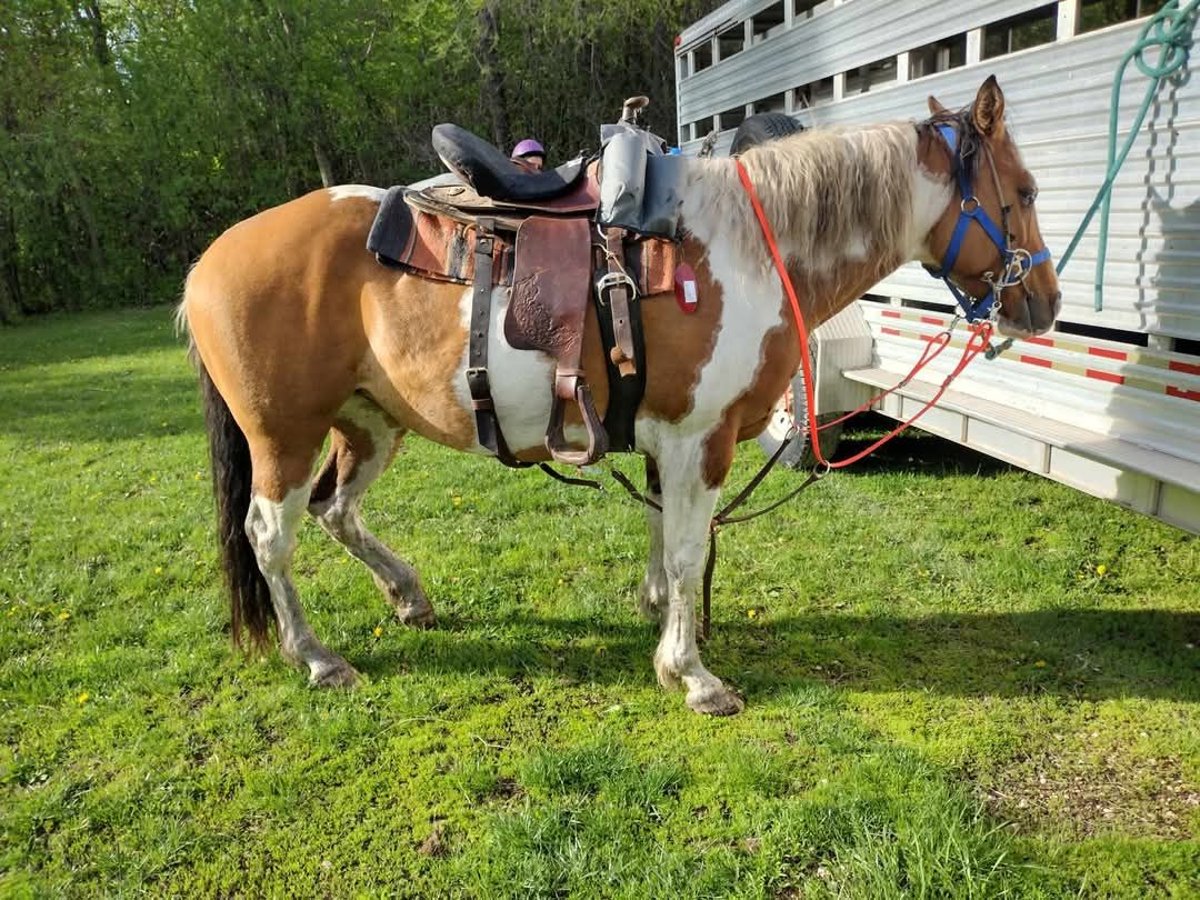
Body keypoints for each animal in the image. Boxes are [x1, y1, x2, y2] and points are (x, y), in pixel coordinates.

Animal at [177, 74, 1060, 715]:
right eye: (1024, 190)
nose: (1045, 303)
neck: (749, 242)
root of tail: (209, 261)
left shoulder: (663, 435)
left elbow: (662, 535)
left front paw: (657, 611)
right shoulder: (699, 438)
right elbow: (690, 548)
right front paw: (692, 673)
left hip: (368, 425)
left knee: (337, 510)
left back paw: (408, 596)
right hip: (284, 437)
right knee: (270, 537)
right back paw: (316, 657)